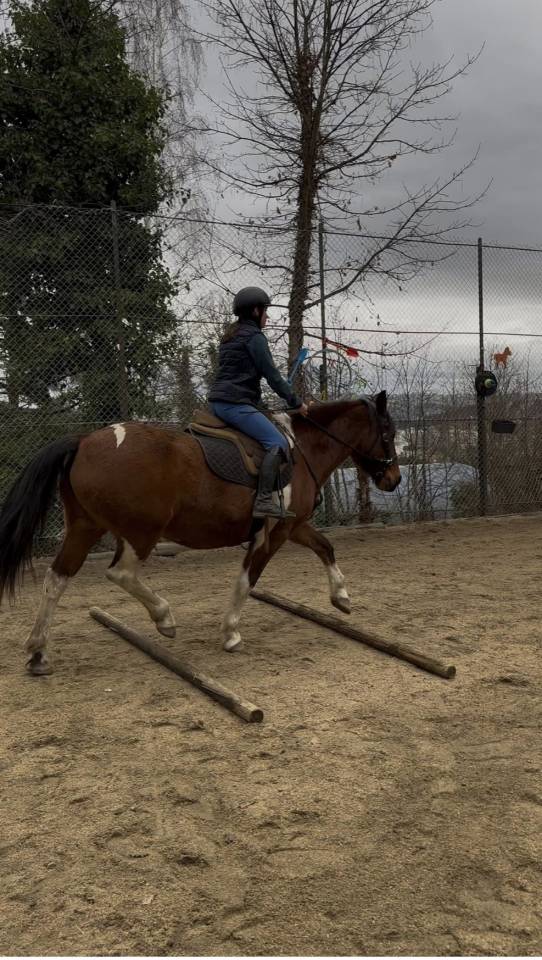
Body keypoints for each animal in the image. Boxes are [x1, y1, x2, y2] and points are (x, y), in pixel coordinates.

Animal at [0, 392, 401, 676]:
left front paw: (341, 597)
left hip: (86, 528)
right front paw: (231, 633)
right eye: (388, 433)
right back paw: (163, 617)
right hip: (141, 531)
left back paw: (38, 652)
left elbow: (325, 546)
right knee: (121, 574)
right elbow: (247, 580)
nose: (394, 480)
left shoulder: (294, 525)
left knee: (57, 579)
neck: (300, 450)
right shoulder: (274, 533)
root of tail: (83, 440)